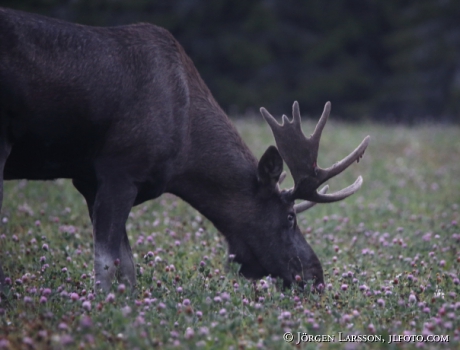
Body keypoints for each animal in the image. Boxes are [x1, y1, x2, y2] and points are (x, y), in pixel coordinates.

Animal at [0, 8, 368, 292]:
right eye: (290, 217)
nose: (316, 277)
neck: (184, 157)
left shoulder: (89, 182)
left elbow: (127, 270)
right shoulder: (119, 171)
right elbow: (107, 266)